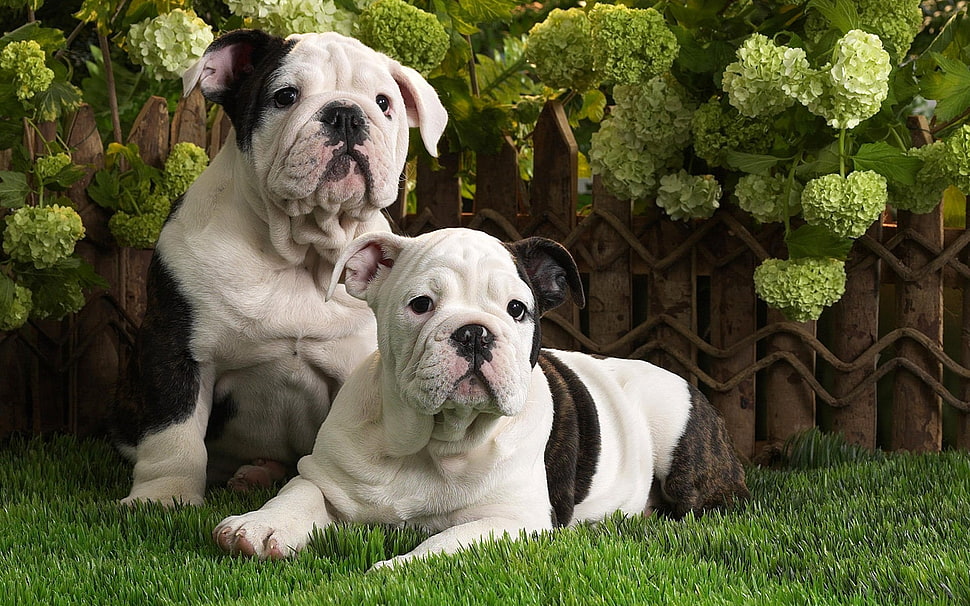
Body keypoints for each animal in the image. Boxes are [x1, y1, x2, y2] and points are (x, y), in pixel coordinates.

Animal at [112, 29, 446, 508]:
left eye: (384, 103)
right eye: (285, 96)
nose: (346, 114)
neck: (300, 251)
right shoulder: (175, 348)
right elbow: (174, 430)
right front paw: (163, 495)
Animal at [212, 226, 744, 568]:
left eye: (518, 309)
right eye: (420, 304)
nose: (473, 332)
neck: (435, 440)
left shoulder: (511, 521)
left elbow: (447, 543)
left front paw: (396, 568)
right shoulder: (326, 477)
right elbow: (299, 494)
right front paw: (259, 526)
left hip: (679, 442)